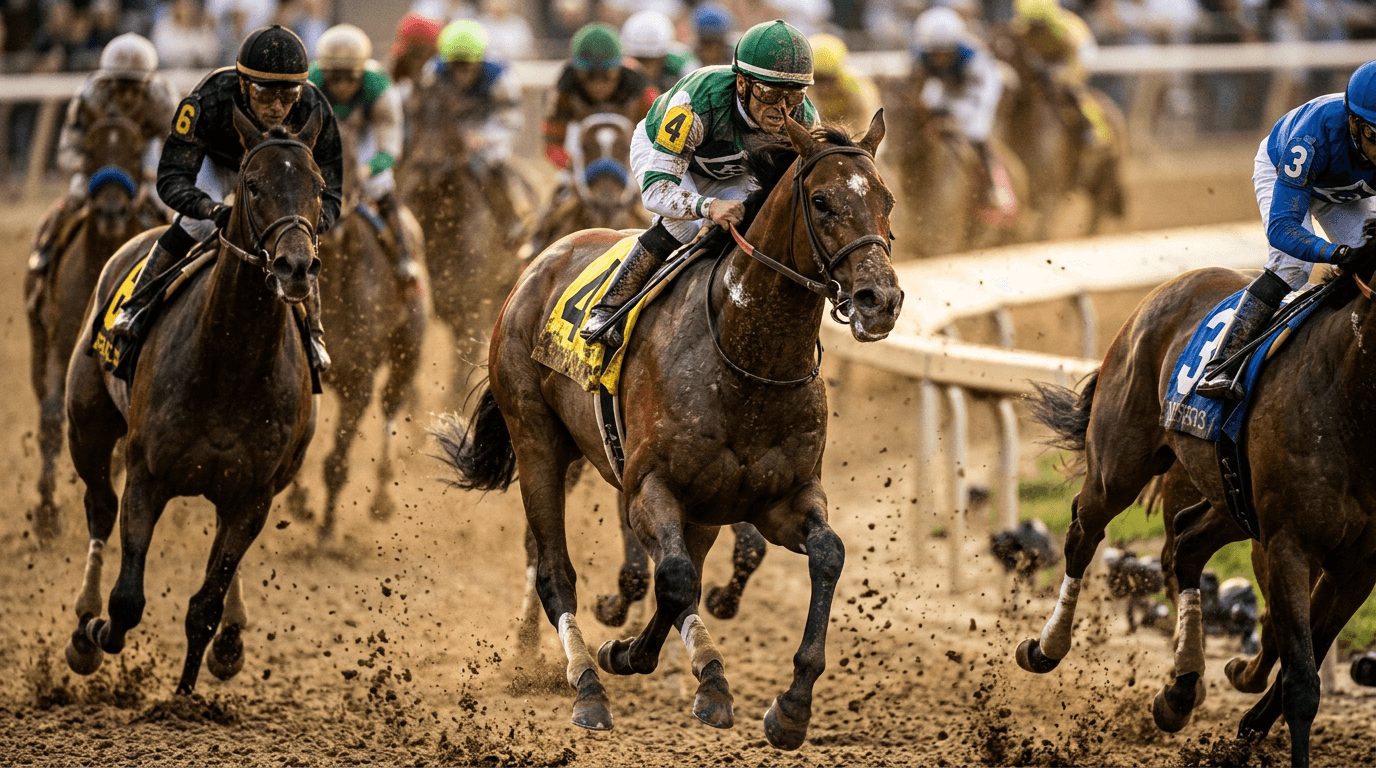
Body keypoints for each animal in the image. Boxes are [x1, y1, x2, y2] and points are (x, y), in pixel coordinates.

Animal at [24, 115, 163, 541]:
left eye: (135, 150)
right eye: (89, 149)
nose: (111, 210)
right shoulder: (62, 343)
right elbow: (53, 419)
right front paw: (47, 513)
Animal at [61, 109, 323, 696]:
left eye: (319, 187)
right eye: (253, 185)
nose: (296, 267)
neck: (230, 360)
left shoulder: (254, 494)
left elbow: (205, 603)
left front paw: (186, 695)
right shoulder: (146, 473)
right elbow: (127, 600)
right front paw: (97, 630)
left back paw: (231, 638)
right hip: (86, 428)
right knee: (99, 508)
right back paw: (83, 625)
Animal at [284, 123, 427, 541]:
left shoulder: (359, 382)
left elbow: (336, 460)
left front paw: (327, 530)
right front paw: (300, 503)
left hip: (407, 353)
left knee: (392, 407)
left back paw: (381, 498)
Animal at [992, 33, 1127, 239]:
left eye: (1013, 55)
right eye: (988, 49)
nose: (1004, 84)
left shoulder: (1049, 195)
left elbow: (1039, 233)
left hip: (1107, 179)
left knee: (1098, 214)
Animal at [1022, 263, 1376, 767]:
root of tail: (1171, 286)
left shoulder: (1358, 564)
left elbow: (1306, 643)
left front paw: (1247, 713)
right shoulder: (1288, 543)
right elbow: (1302, 682)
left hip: (1229, 499)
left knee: (1186, 544)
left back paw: (1183, 690)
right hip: (1119, 465)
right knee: (1083, 533)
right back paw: (1046, 647)